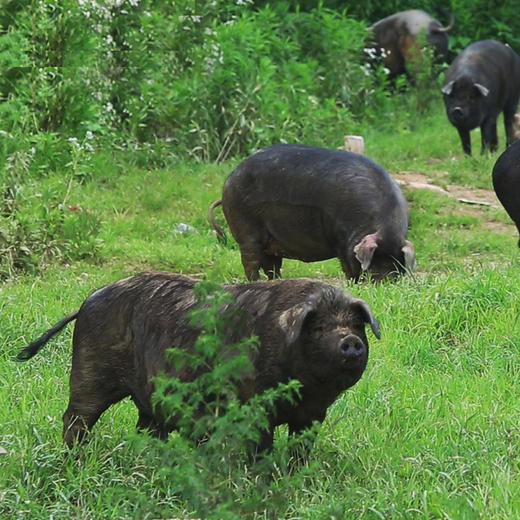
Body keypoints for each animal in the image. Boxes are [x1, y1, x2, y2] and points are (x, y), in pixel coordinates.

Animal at [16, 270, 380, 452]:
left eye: (356, 324)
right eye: (318, 328)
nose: (350, 341)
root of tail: (86, 302)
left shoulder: (313, 414)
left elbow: (301, 449)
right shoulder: (252, 406)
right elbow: (260, 447)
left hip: (148, 394)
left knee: (147, 427)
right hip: (89, 370)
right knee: (76, 417)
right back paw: (74, 457)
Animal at [207, 144, 414, 282]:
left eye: (397, 264)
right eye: (374, 258)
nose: (385, 282)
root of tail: (226, 185)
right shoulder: (340, 241)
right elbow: (348, 267)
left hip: (271, 240)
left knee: (272, 266)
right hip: (246, 228)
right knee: (250, 261)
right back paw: (255, 283)